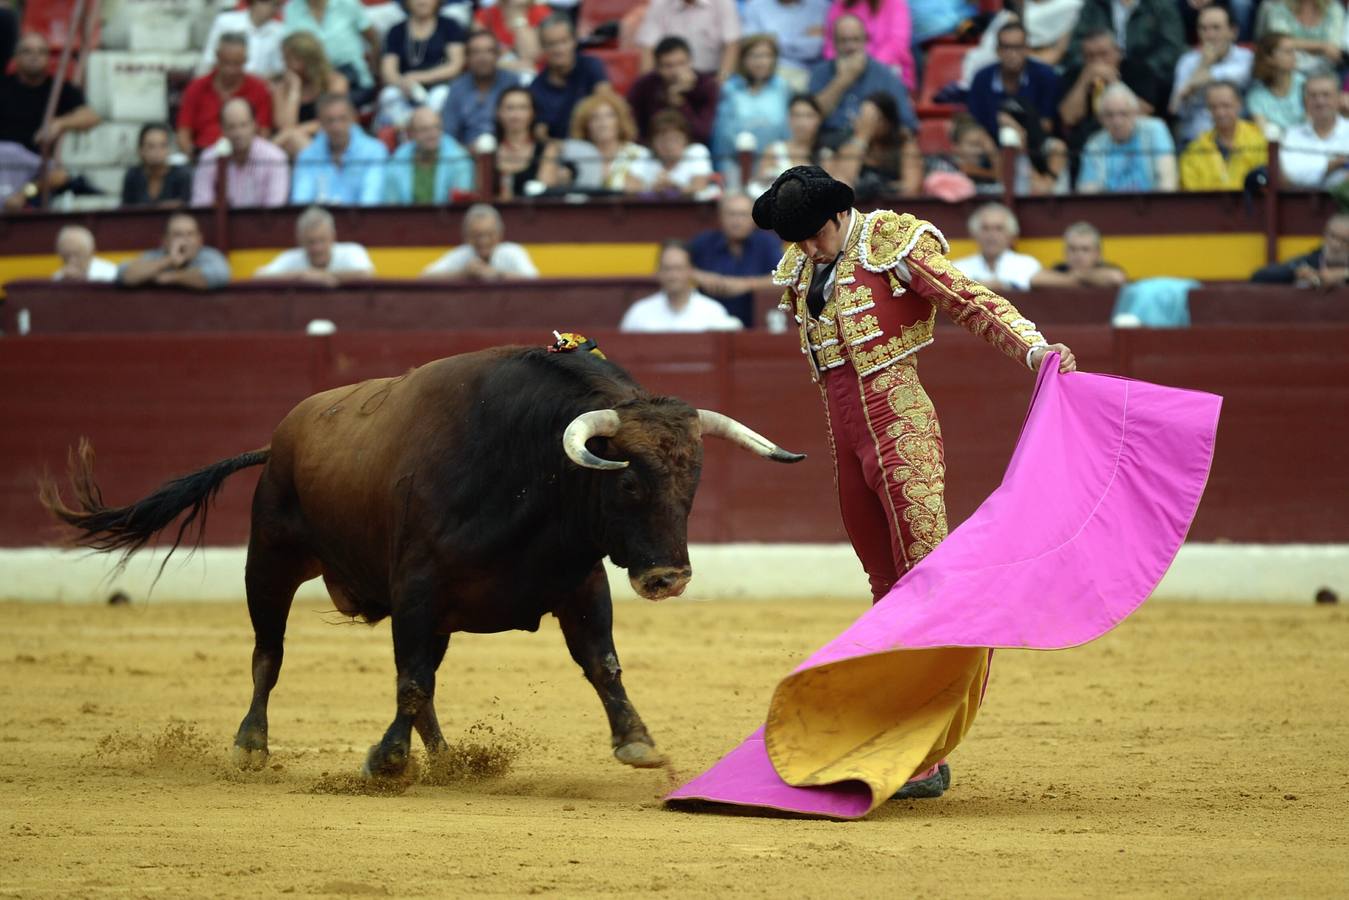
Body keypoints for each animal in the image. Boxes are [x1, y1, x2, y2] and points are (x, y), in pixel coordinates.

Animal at [39, 345, 798, 777]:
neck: (528, 467)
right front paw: (386, 759)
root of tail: (279, 437)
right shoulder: (417, 588)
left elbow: (600, 664)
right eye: (629, 483)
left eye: (692, 482)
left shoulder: (579, 583)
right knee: (269, 655)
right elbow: (406, 680)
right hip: (271, 559)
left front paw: (637, 743)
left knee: (424, 680)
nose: (668, 577)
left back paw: (446, 757)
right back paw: (252, 746)